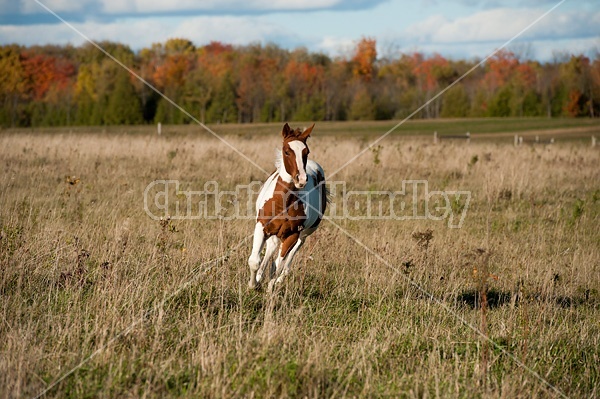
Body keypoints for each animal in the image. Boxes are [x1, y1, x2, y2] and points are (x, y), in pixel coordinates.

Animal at [247, 122, 328, 290]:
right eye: (287, 151)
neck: (282, 203)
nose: (301, 179)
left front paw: (269, 291)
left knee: (288, 259)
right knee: (270, 249)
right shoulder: (261, 226)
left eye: (306, 151)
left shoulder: (292, 235)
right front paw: (253, 285)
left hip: (305, 233)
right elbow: (254, 261)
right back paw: (259, 277)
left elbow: (277, 266)